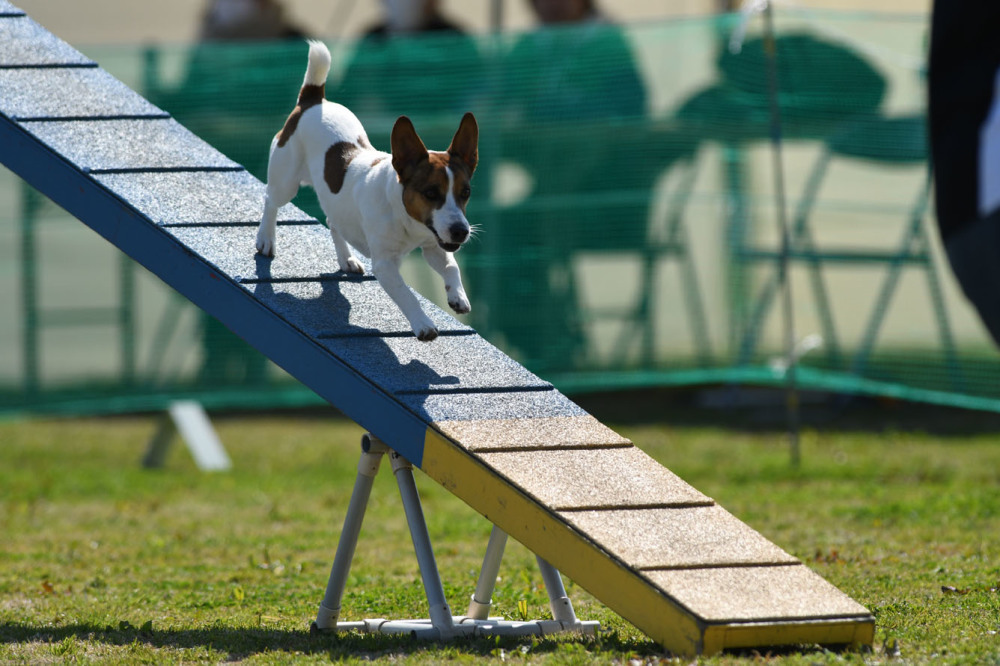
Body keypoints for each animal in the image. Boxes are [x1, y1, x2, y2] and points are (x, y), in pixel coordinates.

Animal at [256, 39, 478, 340]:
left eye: (465, 193)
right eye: (431, 193)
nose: (461, 231)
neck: (403, 215)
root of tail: (314, 101)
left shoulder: (435, 244)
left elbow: (452, 266)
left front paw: (457, 296)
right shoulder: (385, 264)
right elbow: (406, 294)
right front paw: (423, 324)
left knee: (333, 220)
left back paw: (346, 259)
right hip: (286, 180)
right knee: (271, 199)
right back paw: (265, 239)